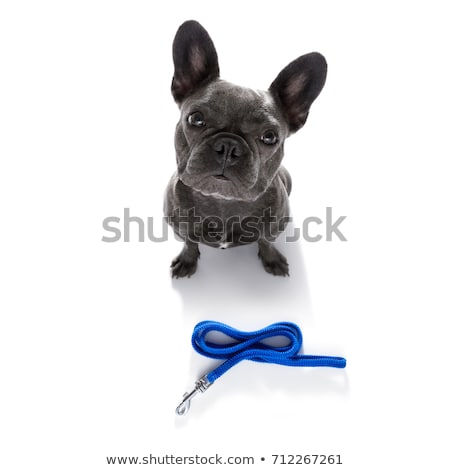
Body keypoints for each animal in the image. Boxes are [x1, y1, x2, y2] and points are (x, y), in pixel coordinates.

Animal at [163, 20, 326, 278]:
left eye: (269, 137)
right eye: (196, 119)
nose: (228, 146)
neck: (223, 202)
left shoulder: (272, 228)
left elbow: (266, 241)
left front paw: (272, 259)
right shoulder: (179, 228)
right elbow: (189, 242)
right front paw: (188, 260)